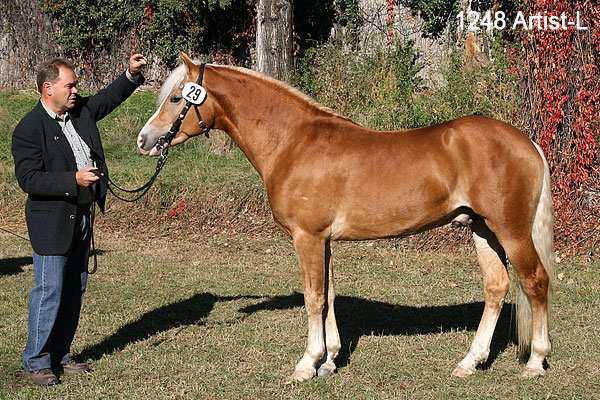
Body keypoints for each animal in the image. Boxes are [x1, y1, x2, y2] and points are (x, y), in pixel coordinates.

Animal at [136, 53, 552, 382]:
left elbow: (313, 297)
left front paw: (308, 364)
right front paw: (330, 360)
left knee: (535, 281)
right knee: (496, 288)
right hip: (482, 230)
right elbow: (329, 295)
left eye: (176, 97)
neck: (293, 142)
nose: (144, 140)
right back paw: (469, 362)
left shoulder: (306, 237)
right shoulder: (323, 240)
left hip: (511, 232)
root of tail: (526, 142)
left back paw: (535, 362)